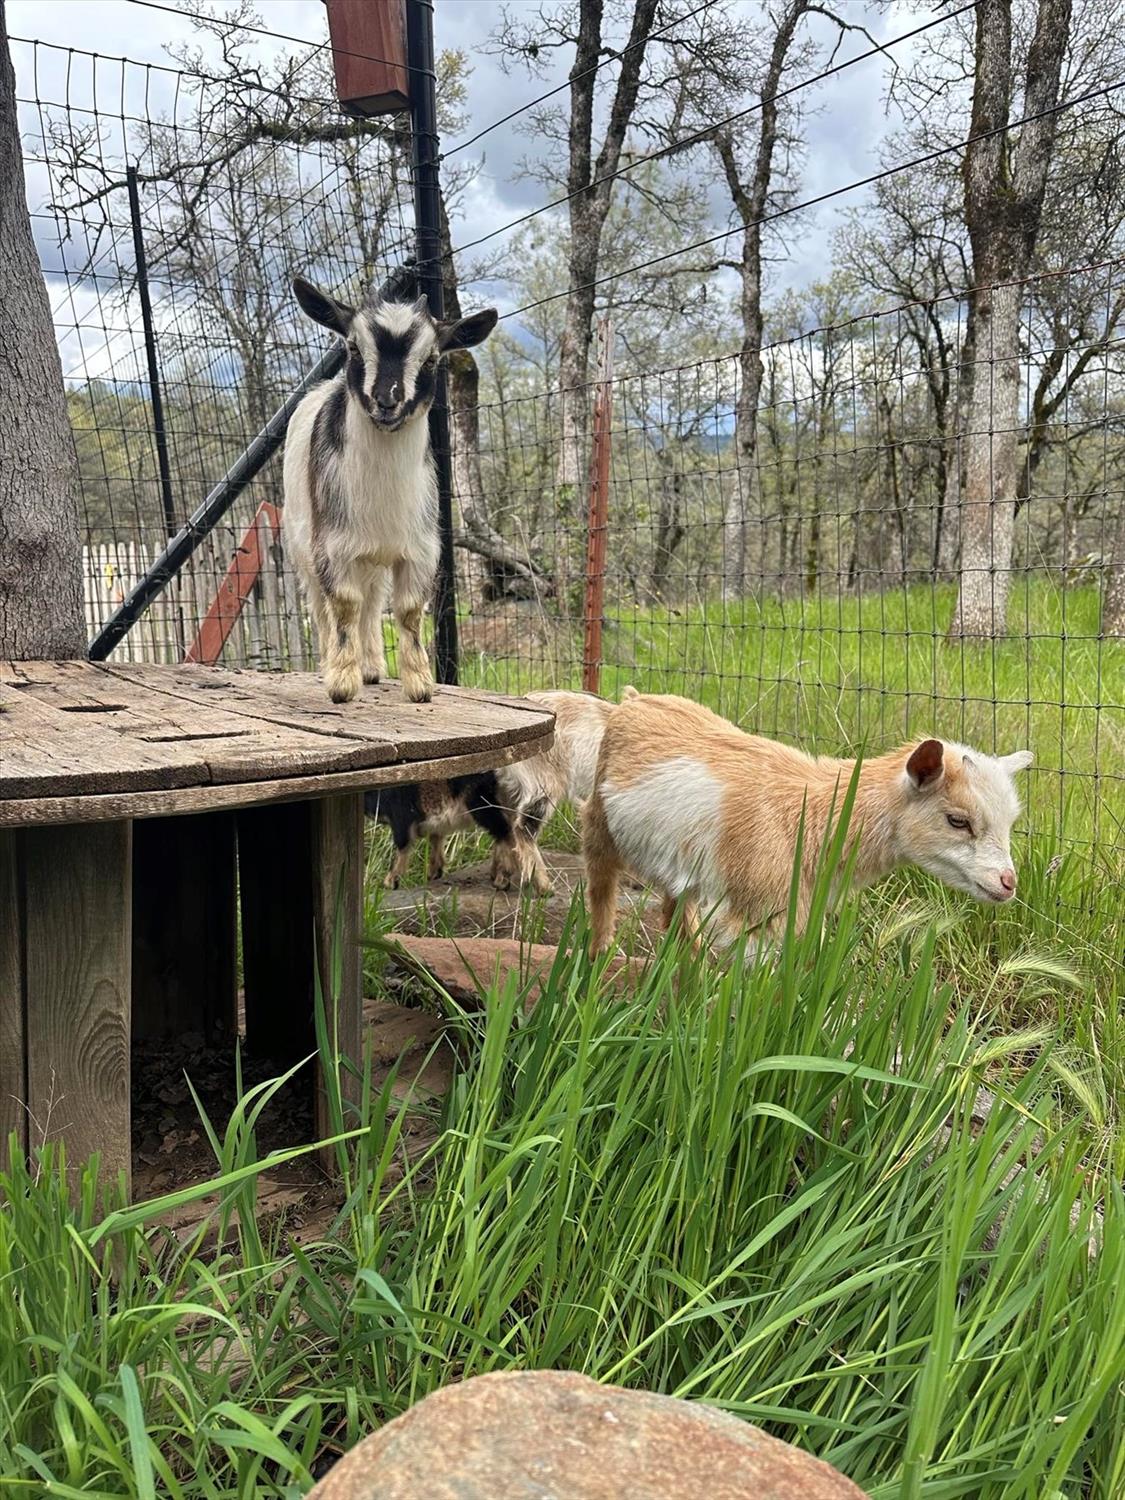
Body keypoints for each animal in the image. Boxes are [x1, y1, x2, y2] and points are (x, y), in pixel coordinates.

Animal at [283, 278, 497, 704]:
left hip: (373, 559)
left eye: (431, 359)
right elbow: (344, 605)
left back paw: (371, 668)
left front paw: (419, 685)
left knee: (372, 603)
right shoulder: (333, 546)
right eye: (352, 347)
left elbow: (410, 611)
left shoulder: (419, 548)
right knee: (323, 606)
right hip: (304, 546)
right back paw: (332, 663)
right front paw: (341, 682)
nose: (386, 402)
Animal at [367, 690, 615, 891]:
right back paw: (543, 887)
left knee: (508, 828)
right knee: (521, 828)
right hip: (543, 781)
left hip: (508, 791)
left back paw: (501, 877)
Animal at [583, 689, 1033, 954]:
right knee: (601, 891)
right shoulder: (756, 918)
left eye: (1010, 822)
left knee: (676, 913)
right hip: (598, 825)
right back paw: (598, 959)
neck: (816, 817)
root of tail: (634, 697)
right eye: (957, 820)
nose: (1008, 883)